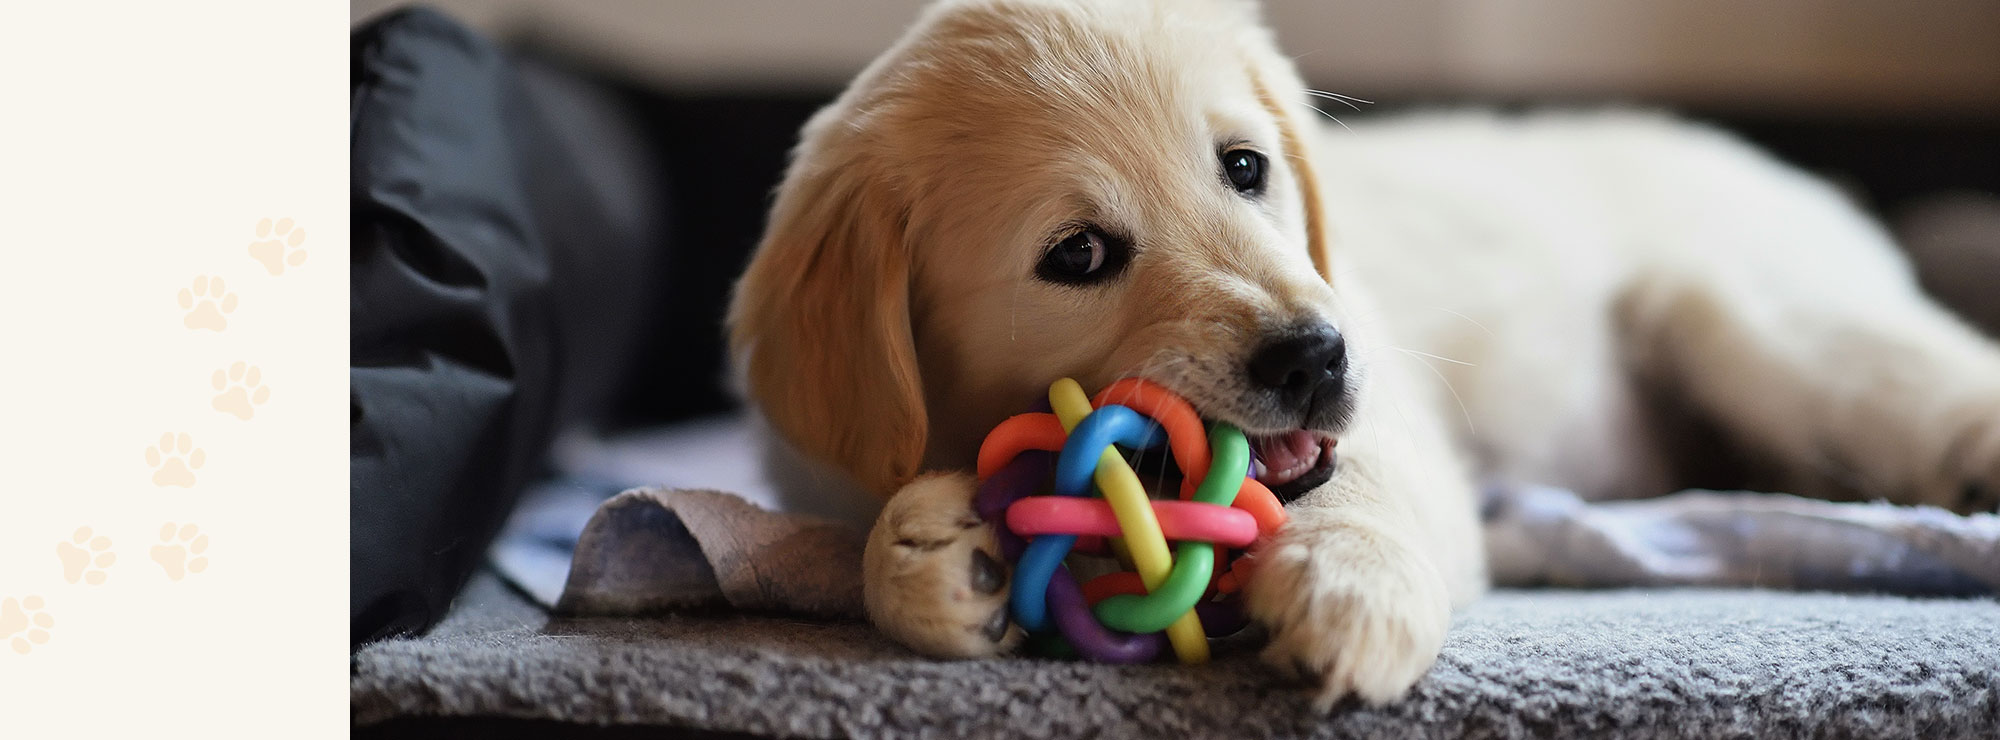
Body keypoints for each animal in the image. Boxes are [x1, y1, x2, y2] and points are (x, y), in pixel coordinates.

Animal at [728, 0, 2000, 708]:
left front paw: (1349, 589)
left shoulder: (1391, 415)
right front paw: (937, 553)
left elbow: (1359, 488)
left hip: (1748, 319)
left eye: (1244, 167)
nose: (1313, 357)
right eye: (1077, 252)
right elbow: (861, 539)